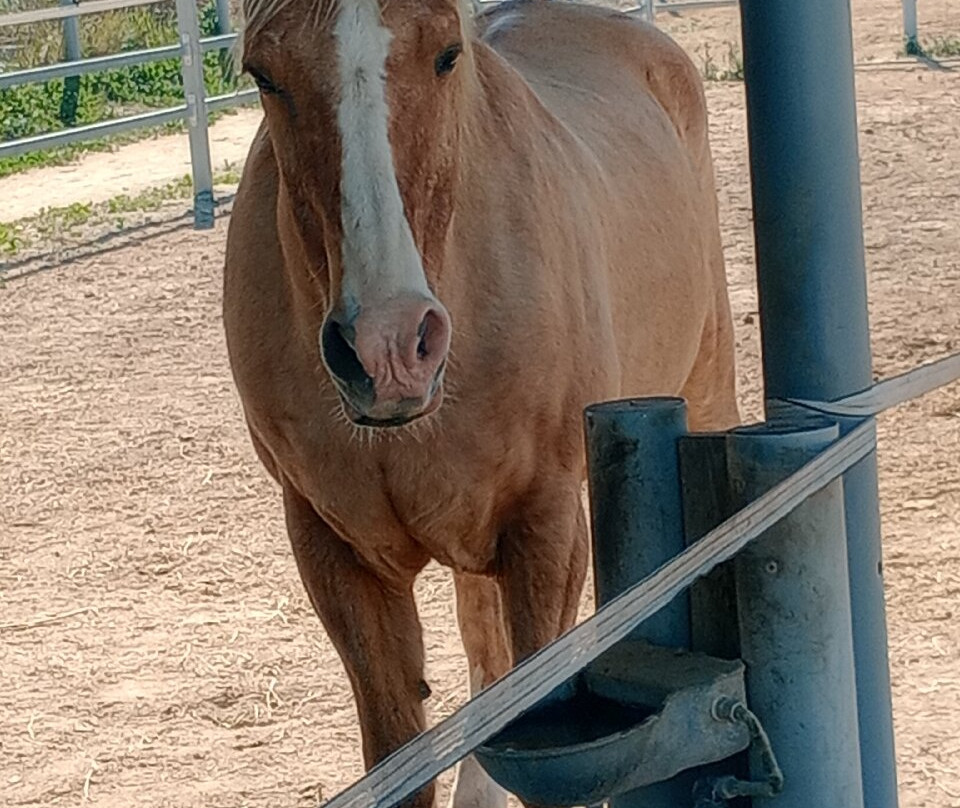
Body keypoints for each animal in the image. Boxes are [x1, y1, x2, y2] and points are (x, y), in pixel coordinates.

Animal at [223, 0, 739, 805]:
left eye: (446, 55)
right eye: (263, 74)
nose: (387, 347)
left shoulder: (546, 531)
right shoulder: (334, 550)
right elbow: (402, 759)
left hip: (708, 382)